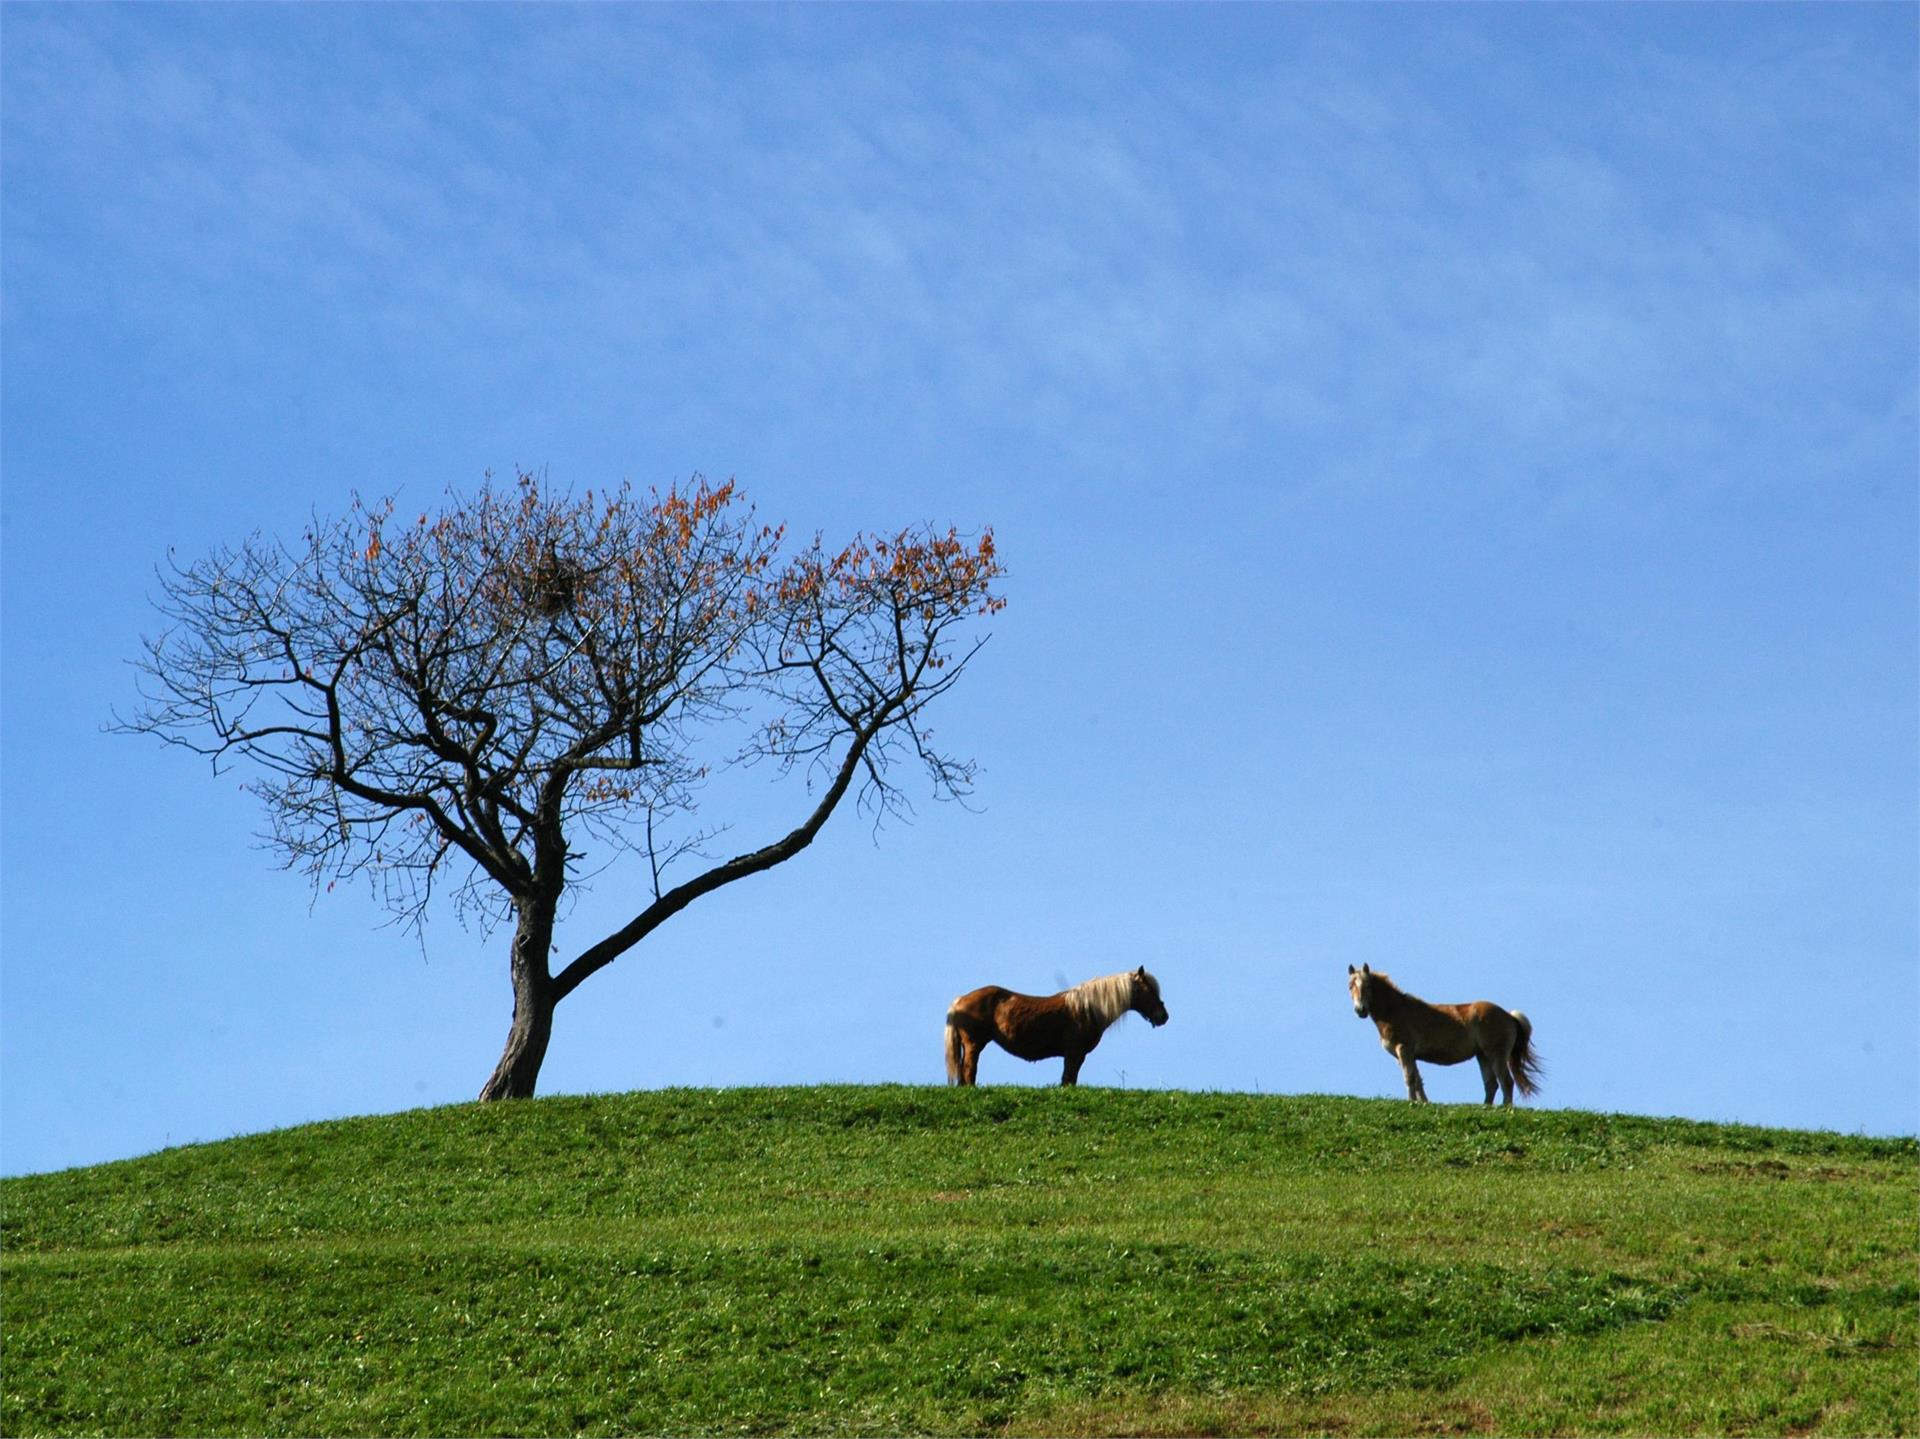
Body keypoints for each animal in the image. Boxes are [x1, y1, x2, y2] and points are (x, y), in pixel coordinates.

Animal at [948, 972, 1167, 1083]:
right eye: (1149, 990)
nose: (1163, 1016)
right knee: (968, 1070)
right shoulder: (1074, 1053)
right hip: (974, 1044)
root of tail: (960, 1000)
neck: (1088, 1008)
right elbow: (1068, 1078)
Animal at [1351, 960, 1543, 1106]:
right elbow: (1418, 1080)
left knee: (1506, 1082)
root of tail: (1509, 1016)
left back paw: (1505, 1108)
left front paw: (1412, 1102)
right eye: (1350, 986)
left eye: (1367, 985)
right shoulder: (1409, 1055)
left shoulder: (1404, 1049)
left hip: (1496, 1054)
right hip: (1482, 1056)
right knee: (1491, 1084)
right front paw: (1424, 1103)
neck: (1395, 1010)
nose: (1360, 1010)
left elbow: (1409, 1078)